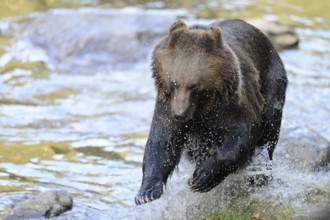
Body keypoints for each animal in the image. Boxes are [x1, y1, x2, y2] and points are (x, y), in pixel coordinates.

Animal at [134, 18, 286, 205]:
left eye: (194, 86)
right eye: (174, 82)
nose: (180, 114)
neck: (203, 105)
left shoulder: (232, 103)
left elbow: (242, 134)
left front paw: (201, 178)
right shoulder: (166, 104)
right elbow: (163, 141)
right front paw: (146, 193)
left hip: (272, 80)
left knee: (270, 129)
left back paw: (260, 173)